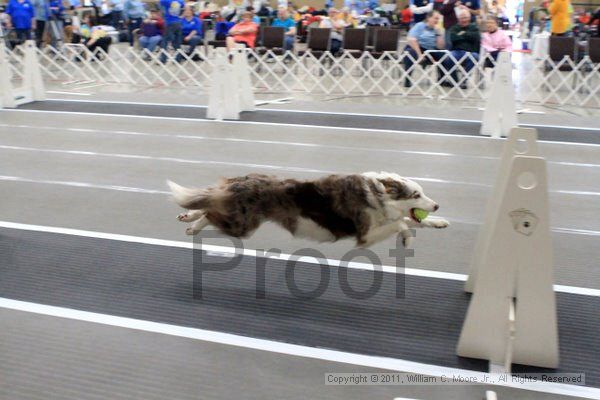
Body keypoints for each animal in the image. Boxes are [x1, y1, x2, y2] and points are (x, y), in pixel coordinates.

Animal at [166, 172, 448, 247]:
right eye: (416, 195)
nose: (436, 205)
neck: (377, 195)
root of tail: (241, 180)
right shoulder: (365, 236)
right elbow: (401, 223)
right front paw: (407, 240)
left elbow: (411, 221)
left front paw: (439, 221)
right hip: (242, 225)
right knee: (210, 211)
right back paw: (194, 225)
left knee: (210, 199)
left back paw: (187, 216)